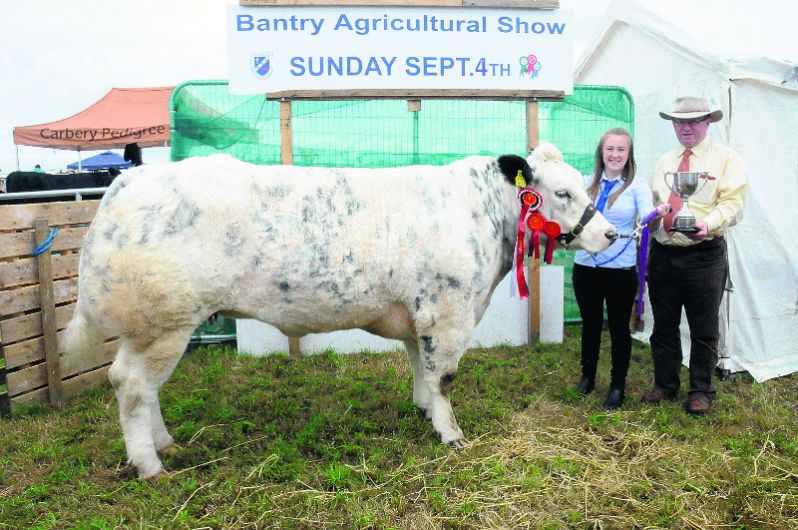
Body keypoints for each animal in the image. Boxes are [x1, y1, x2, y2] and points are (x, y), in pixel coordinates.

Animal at [64, 142, 612, 476]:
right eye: (561, 192)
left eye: (583, 184)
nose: (609, 233)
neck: (484, 215)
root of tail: (129, 181)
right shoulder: (448, 311)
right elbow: (444, 377)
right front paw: (451, 434)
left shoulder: (418, 315)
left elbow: (421, 368)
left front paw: (422, 410)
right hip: (162, 322)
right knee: (132, 386)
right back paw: (150, 465)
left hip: (153, 328)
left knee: (141, 387)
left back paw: (165, 444)